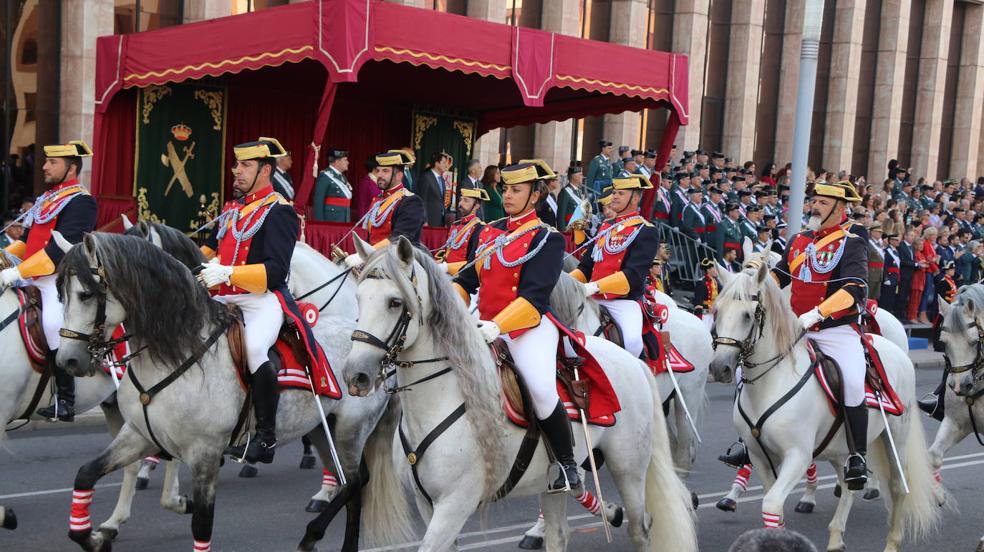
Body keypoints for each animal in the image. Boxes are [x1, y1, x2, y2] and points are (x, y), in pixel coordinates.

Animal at [342, 239, 696, 552]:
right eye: (357, 297)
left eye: (395, 302)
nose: (355, 375)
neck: (444, 397)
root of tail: (634, 363)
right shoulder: (426, 503)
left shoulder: (455, 503)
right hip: (553, 485)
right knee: (559, 534)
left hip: (630, 468)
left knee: (641, 527)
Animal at [712, 260, 940, 548]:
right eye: (717, 311)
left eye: (747, 315)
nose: (720, 367)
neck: (771, 384)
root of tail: (896, 349)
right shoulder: (759, 456)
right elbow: (774, 508)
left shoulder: (797, 455)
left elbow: (771, 504)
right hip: (840, 447)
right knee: (848, 484)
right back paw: (835, 537)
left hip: (896, 436)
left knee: (898, 485)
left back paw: (891, 543)